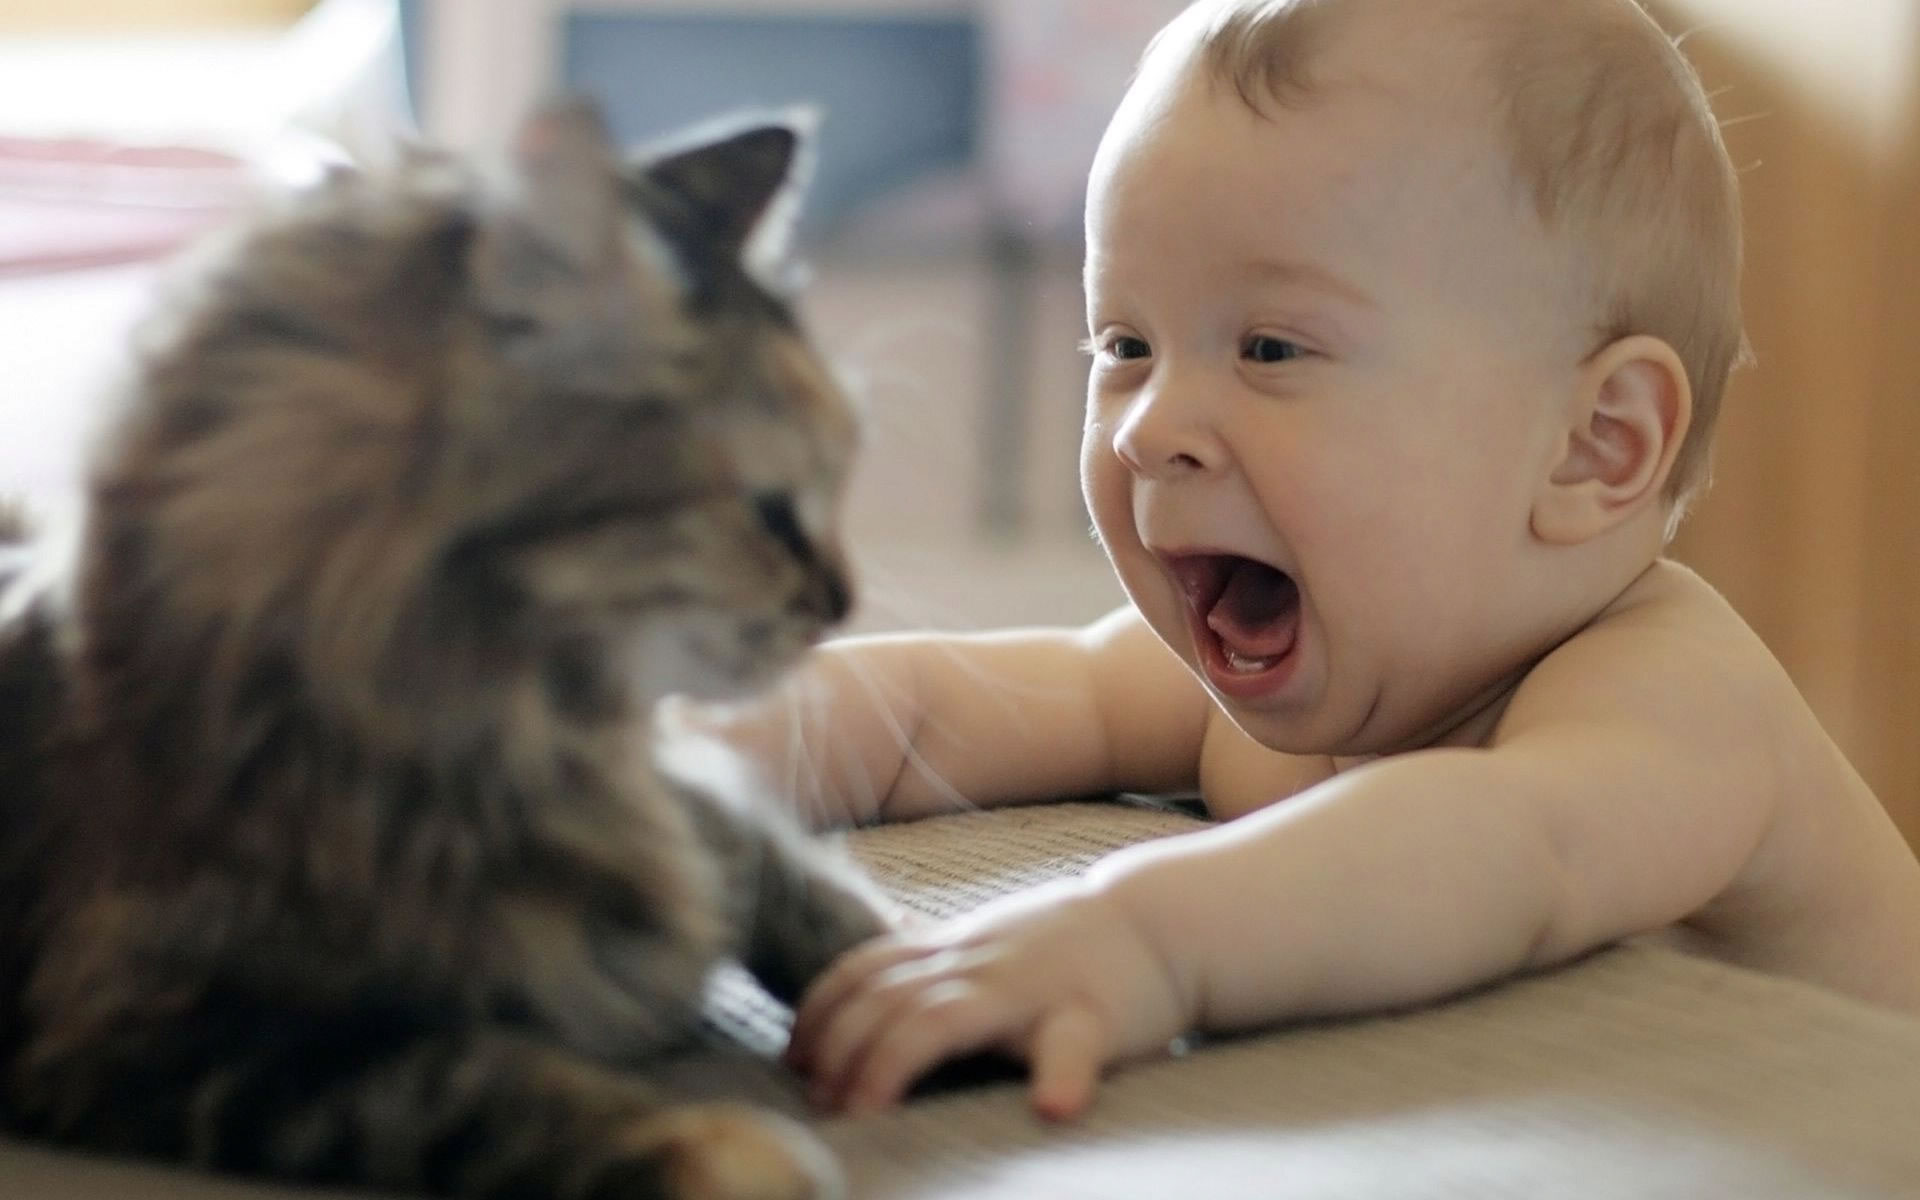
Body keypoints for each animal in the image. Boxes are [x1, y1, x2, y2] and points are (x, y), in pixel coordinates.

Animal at [0, 102, 887, 1198]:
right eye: (771, 511)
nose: (845, 603)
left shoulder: (687, 797)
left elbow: (789, 876)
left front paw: (913, 980)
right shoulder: (157, 1036)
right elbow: (481, 1080)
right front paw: (722, 1146)